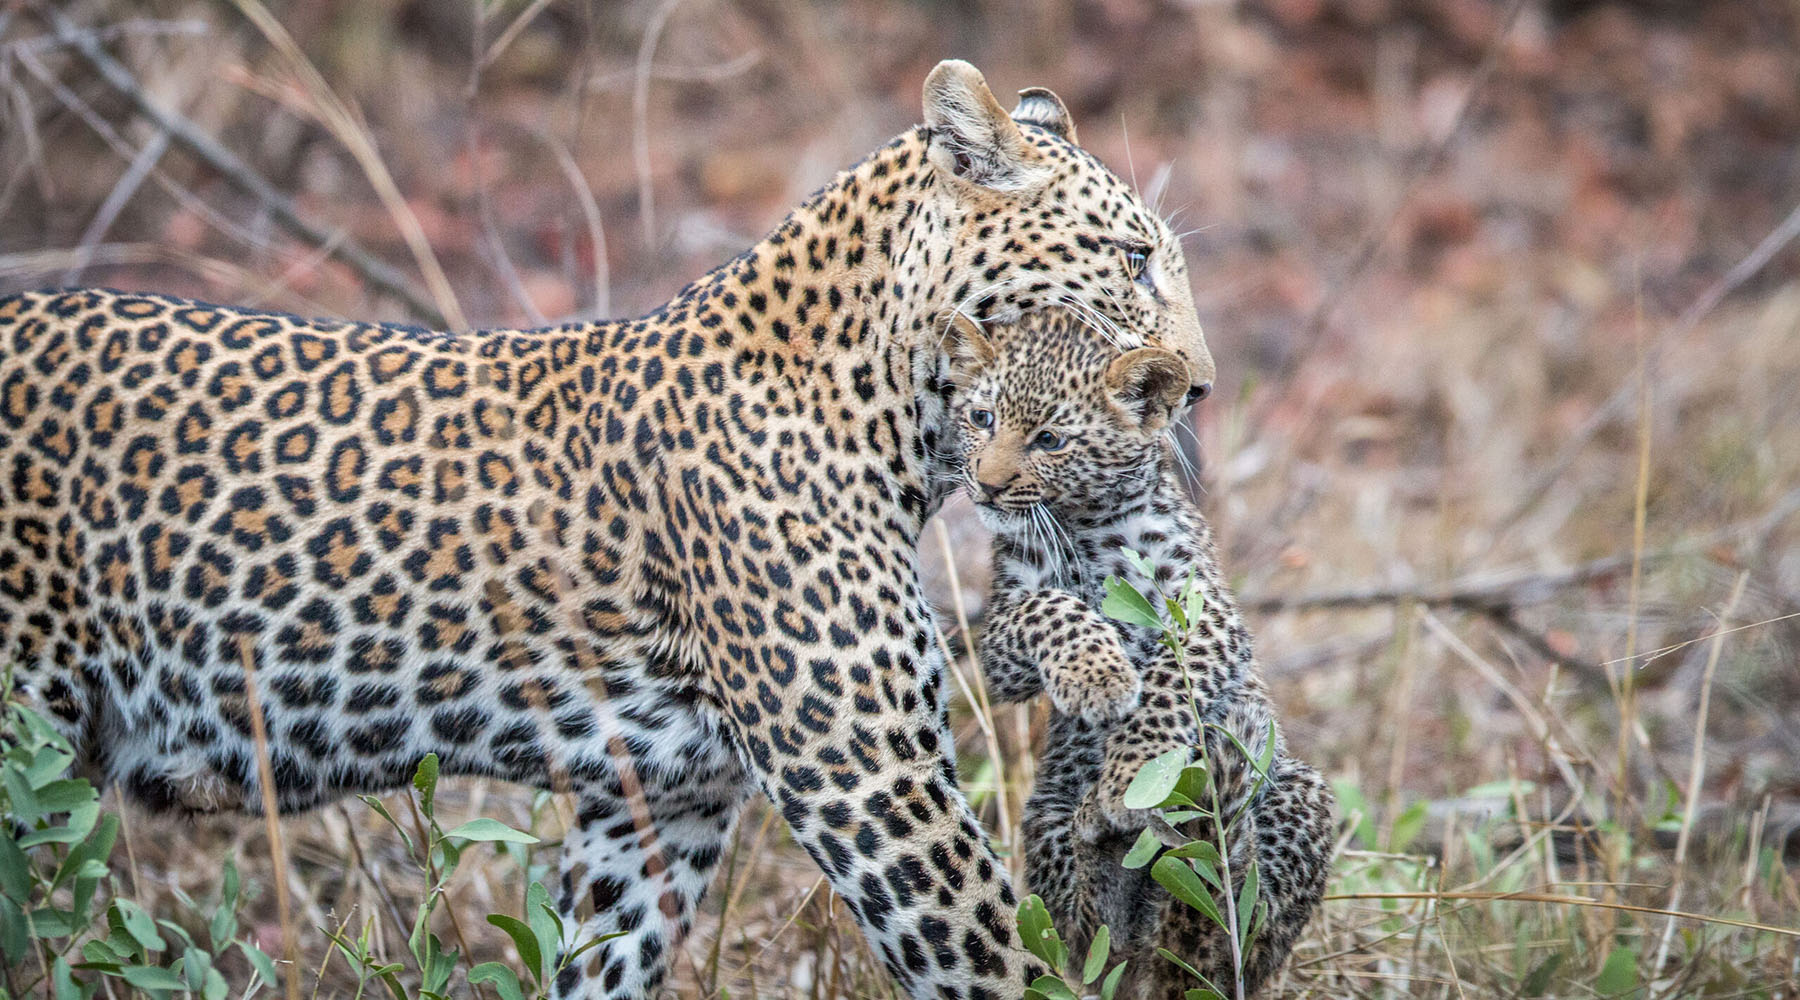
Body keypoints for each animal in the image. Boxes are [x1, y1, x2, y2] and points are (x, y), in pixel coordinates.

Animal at [0, 62, 1216, 1000]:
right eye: (1130, 258)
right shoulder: (867, 773)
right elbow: (996, 955)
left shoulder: (660, 806)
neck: (893, 409)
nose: (1198, 386)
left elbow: (598, 960)